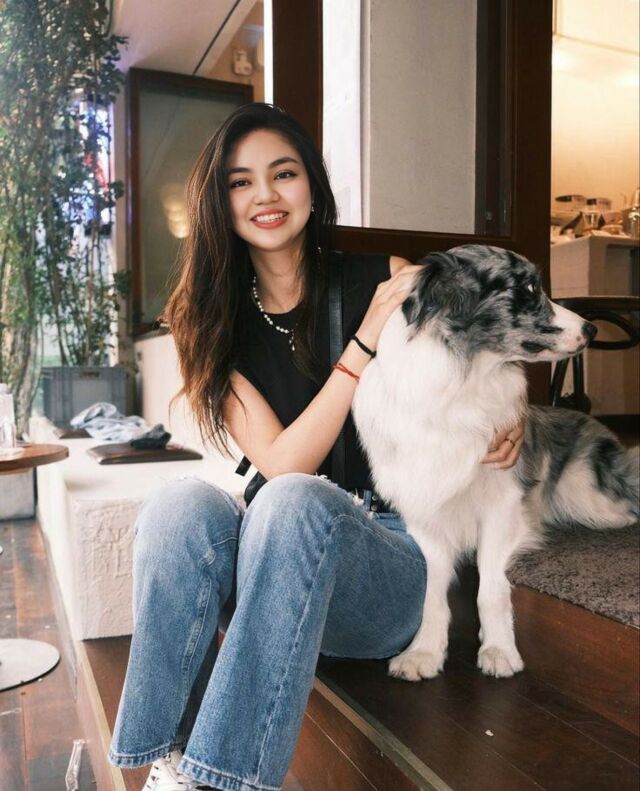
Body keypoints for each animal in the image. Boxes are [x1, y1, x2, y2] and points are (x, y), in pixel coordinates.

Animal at [352, 244, 639, 681]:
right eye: (529, 288)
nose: (591, 329)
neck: (461, 384)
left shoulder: (503, 505)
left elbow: (491, 588)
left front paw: (500, 650)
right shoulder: (423, 512)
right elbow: (430, 593)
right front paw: (424, 653)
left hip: (591, 498)